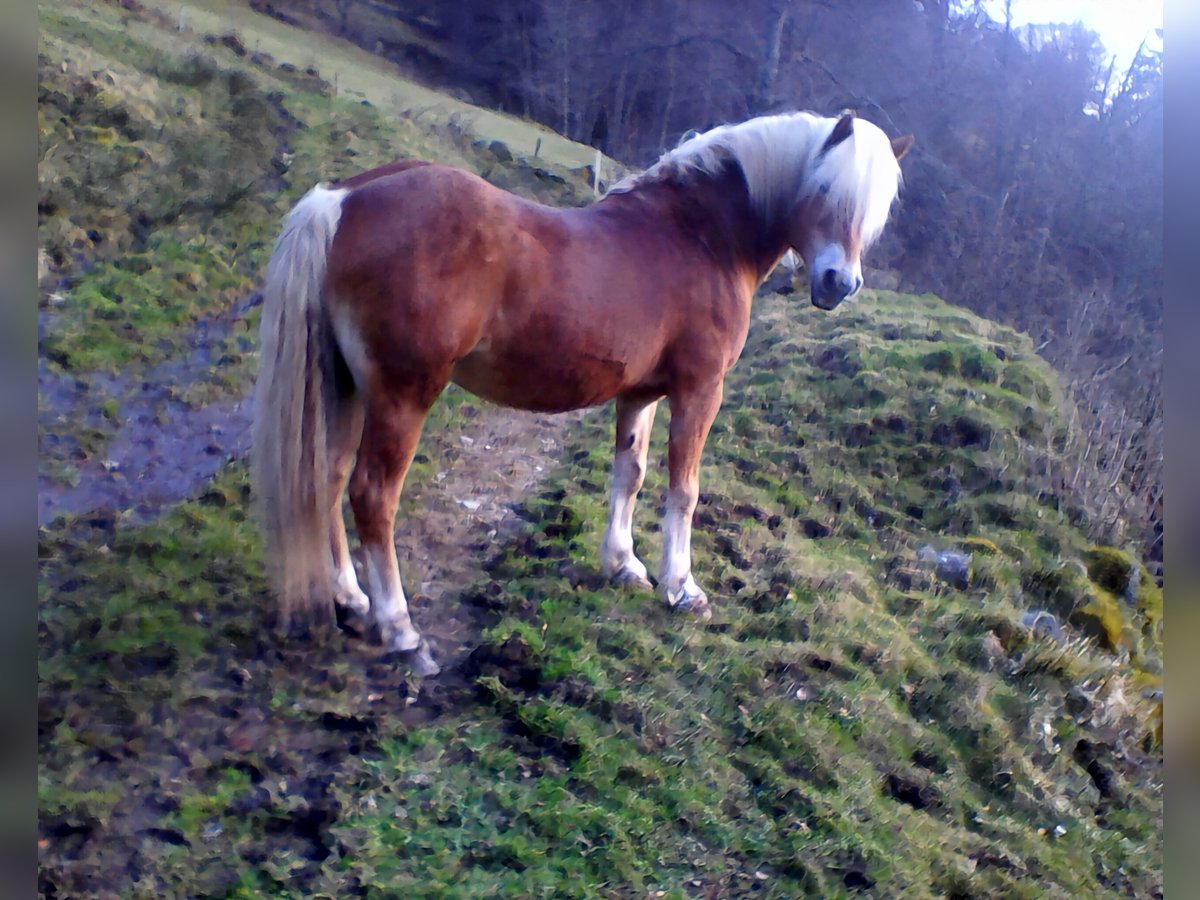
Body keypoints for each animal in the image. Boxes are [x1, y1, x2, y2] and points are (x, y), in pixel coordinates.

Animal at [250, 109, 907, 672]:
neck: (700, 235)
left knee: (329, 476)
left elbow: (630, 473)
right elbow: (684, 488)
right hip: (402, 395)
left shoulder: (640, 393)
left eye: (875, 213)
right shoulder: (700, 390)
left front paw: (623, 565)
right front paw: (681, 588)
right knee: (372, 495)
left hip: (345, 385)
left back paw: (350, 599)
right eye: (825, 189)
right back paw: (401, 629)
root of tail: (345, 199)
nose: (839, 283)